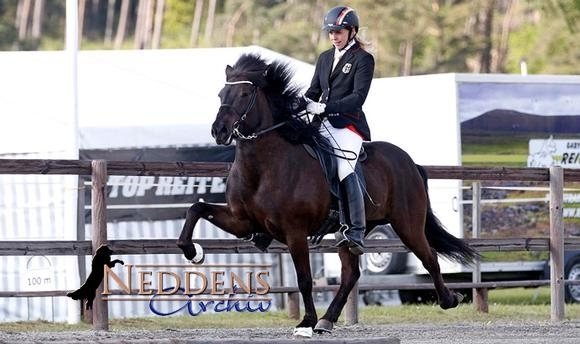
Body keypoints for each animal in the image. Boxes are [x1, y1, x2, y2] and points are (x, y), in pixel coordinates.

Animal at [176, 53, 476, 334]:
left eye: (245, 94)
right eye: (221, 94)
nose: (219, 131)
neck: (263, 167)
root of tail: (409, 162)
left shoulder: (295, 231)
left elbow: (305, 279)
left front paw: (305, 322)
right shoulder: (242, 222)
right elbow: (196, 208)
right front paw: (193, 252)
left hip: (408, 224)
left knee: (429, 257)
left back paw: (449, 299)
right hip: (352, 232)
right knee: (351, 274)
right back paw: (327, 320)